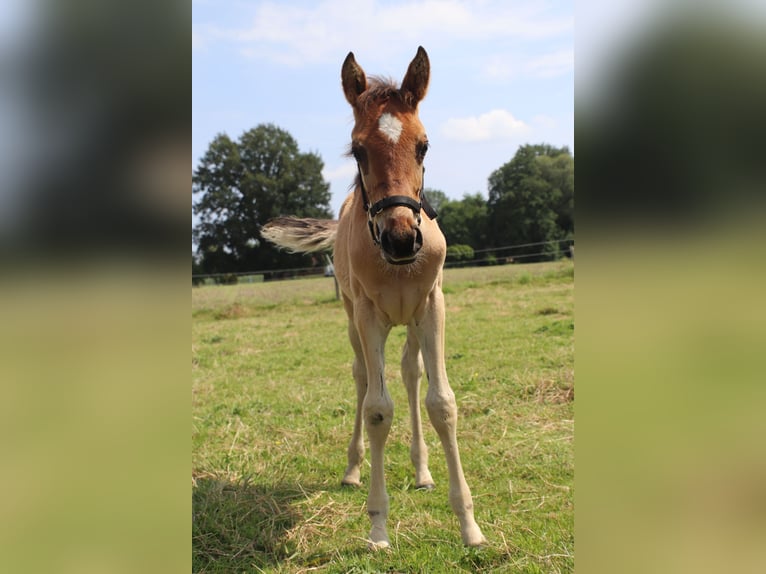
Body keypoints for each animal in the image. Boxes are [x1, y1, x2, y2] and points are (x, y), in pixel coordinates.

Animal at [260, 47, 484, 552]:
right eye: (358, 150)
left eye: (424, 146)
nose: (401, 239)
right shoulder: (367, 315)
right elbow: (378, 409)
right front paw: (378, 526)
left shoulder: (432, 306)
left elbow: (442, 403)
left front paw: (469, 526)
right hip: (352, 320)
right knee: (363, 378)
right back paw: (352, 469)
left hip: (410, 321)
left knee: (410, 374)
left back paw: (422, 472)